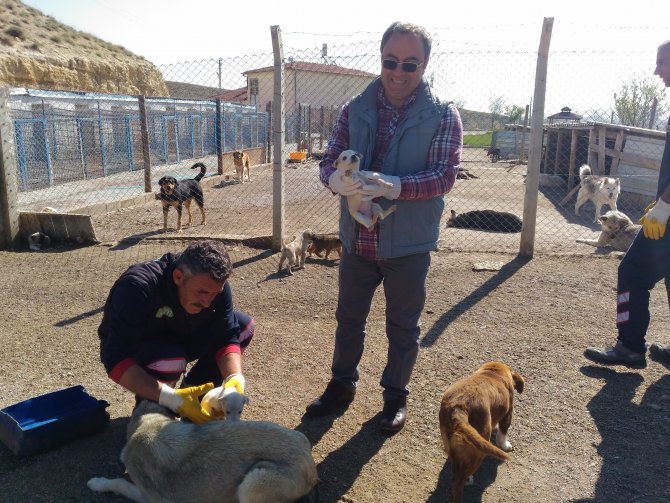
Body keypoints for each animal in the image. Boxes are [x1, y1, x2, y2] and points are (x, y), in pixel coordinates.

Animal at [86, 402, 318, 503]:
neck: (149, 425)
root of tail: (312, 467)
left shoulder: (152, 499)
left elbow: (119, 483)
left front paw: (98, 483)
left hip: (253, 483)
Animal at [438, 360, 528, 502]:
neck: (493, 372)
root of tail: (458, 408)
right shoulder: (508, 413)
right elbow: (503, 433)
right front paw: (505, 445)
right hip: (480, 445)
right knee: (458, 480)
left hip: (451, 443)